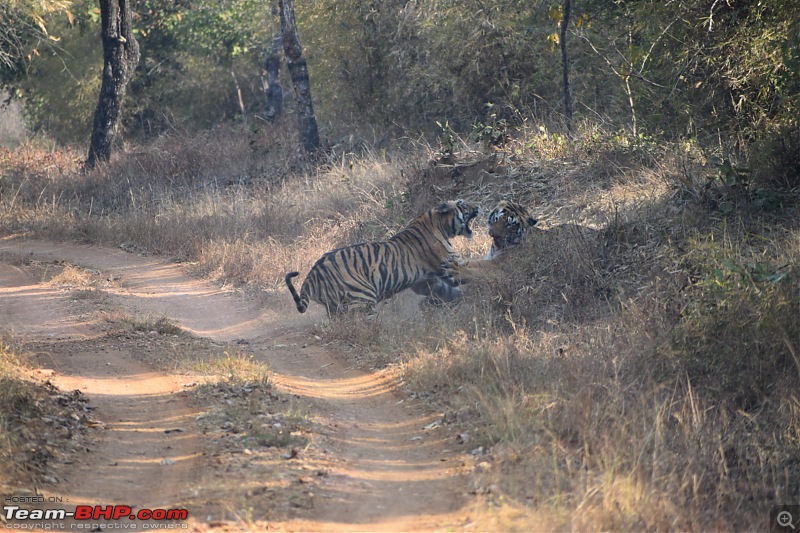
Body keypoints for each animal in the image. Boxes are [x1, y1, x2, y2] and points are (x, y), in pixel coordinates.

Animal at [284, 198, 478, 316]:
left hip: (334, 307)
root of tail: (313, 273)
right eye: (463, 205)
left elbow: (447, 291)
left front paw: (460, 298)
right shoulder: (450, 264)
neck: (439, 224)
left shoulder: (425, 282)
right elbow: (472, 269)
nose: (478, 207)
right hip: (362, 299)